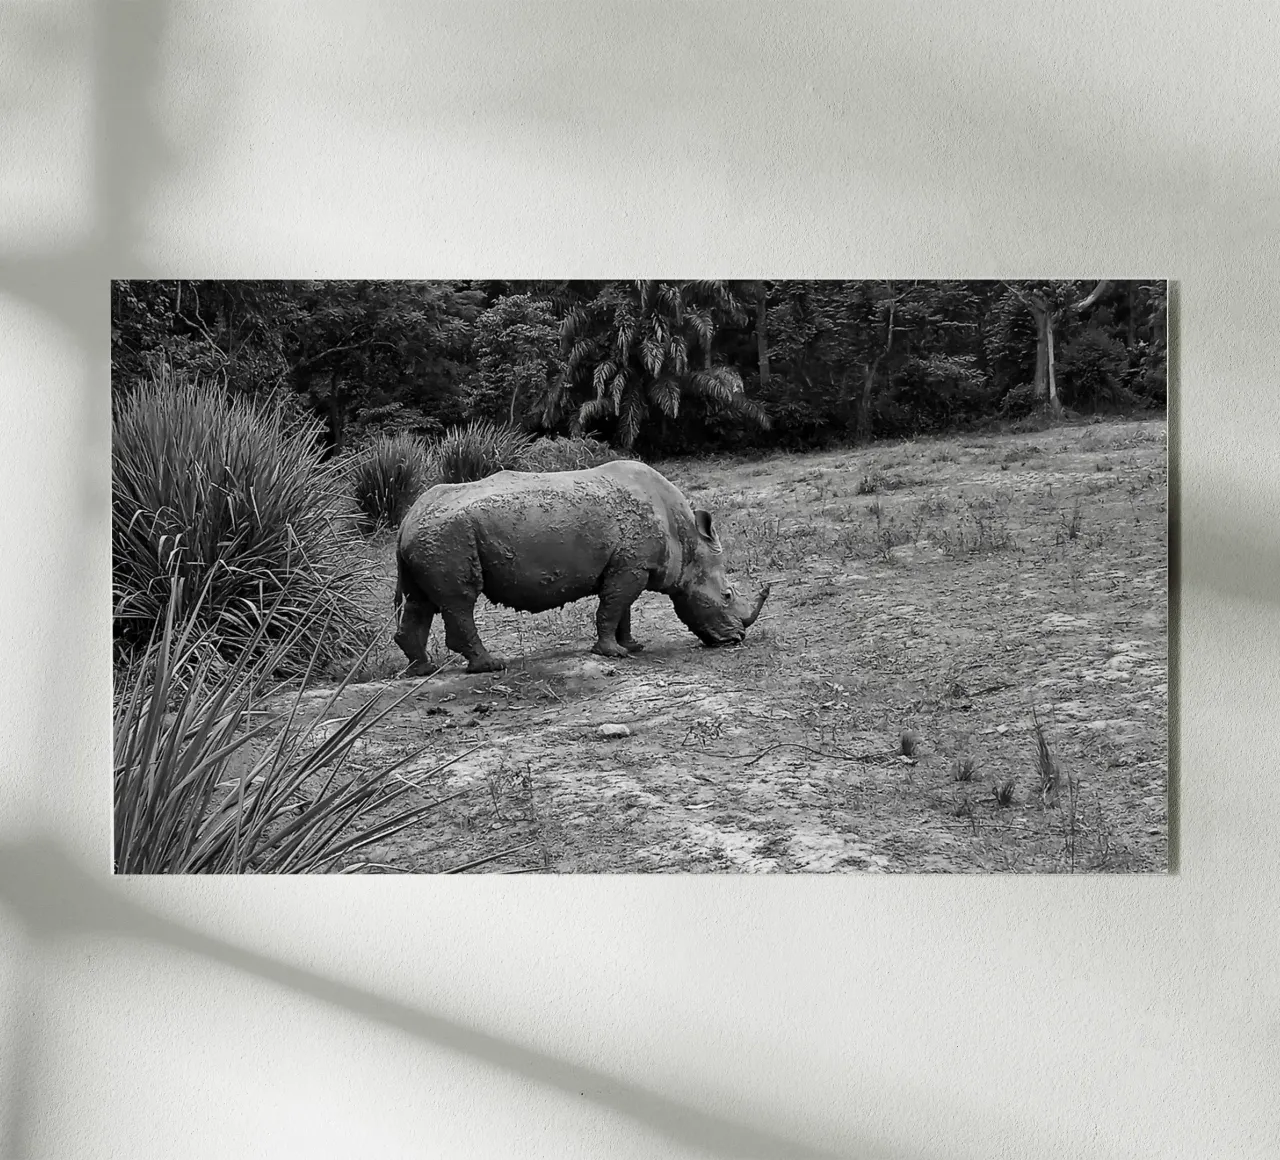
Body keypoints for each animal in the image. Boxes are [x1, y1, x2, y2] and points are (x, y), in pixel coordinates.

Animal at [393, 460, 770, 673]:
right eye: (726, 595)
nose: (736, 639)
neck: (688, 540)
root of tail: (406, 520)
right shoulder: (630, 568)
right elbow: (613, 607)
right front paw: (613, 654)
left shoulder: (628, 566)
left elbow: (622, 610)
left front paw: (632, 647)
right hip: (448, 535)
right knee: (460, 601)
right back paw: (490, 666)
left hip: (431, 537)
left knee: (421, 601)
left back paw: (422, 670)